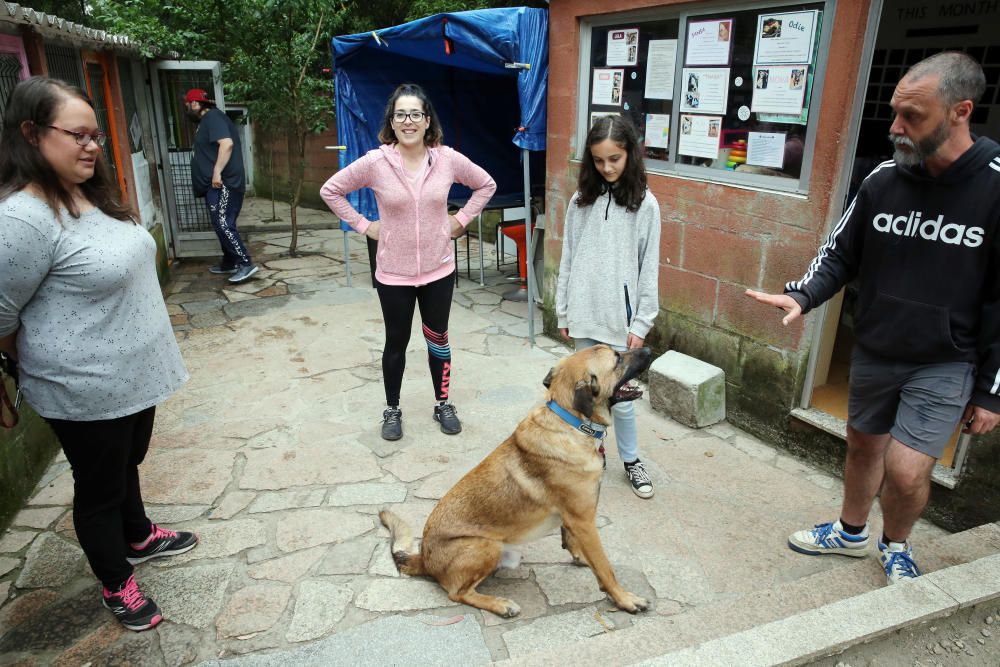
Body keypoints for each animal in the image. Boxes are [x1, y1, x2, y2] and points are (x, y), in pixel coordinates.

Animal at [378, 348, 652, 620]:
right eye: (617, 358)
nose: (648, 349)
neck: (570, 422)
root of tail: (424, 558)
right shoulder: (584, 520)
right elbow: (605, 567)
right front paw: (625, 599)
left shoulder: (575, 521)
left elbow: (576, 544)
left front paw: (581, 557)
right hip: (488, 545)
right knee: (457, 593)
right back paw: (500, 604)